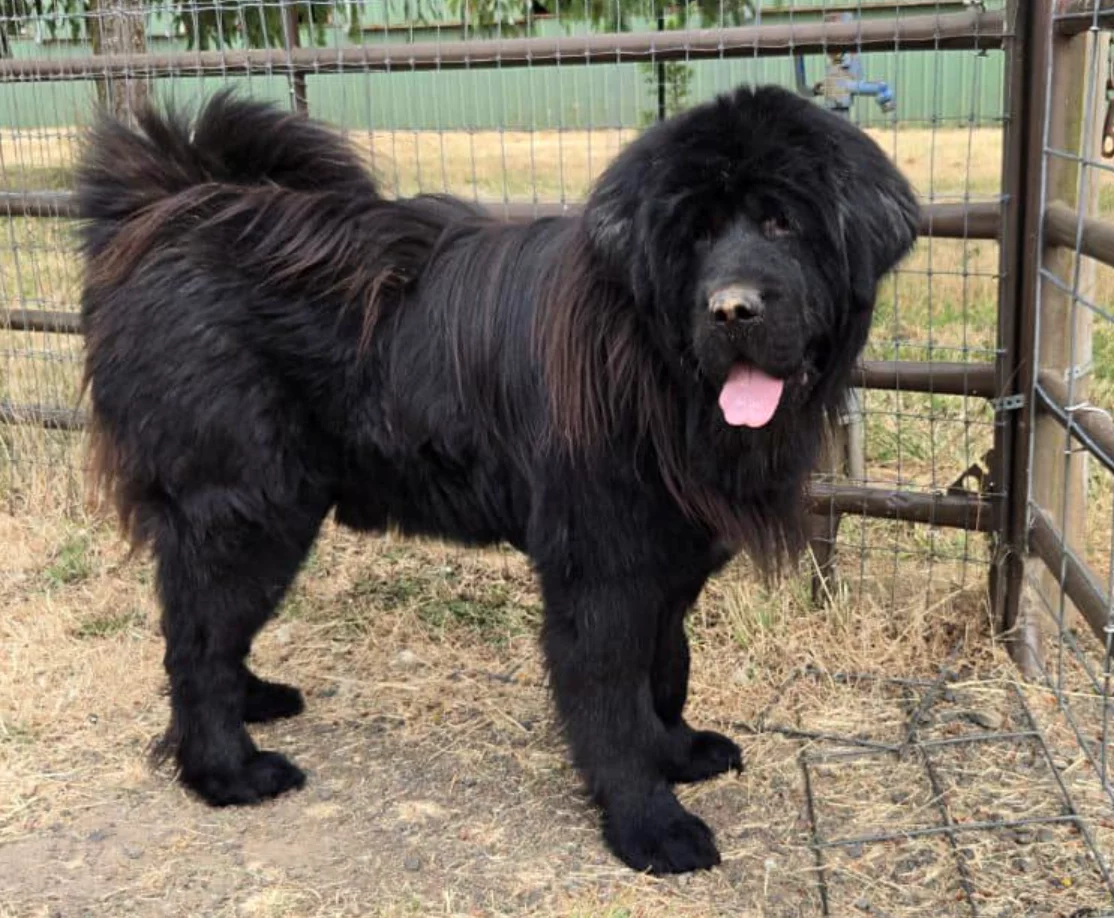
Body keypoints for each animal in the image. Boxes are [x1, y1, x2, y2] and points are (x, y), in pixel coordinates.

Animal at [76, 85, 913, 873]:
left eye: (782, 224)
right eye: (698, 232)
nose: (732, 309)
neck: (653, 366)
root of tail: (173, 210)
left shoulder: (665, 560)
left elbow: (665, 669)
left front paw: (676, 753)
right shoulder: (599, 569)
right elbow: (611, 697)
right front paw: (649, 824)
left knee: (214, 628)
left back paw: (254, 702)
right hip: (248, 509)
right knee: (197, 642)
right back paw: (225, 771)